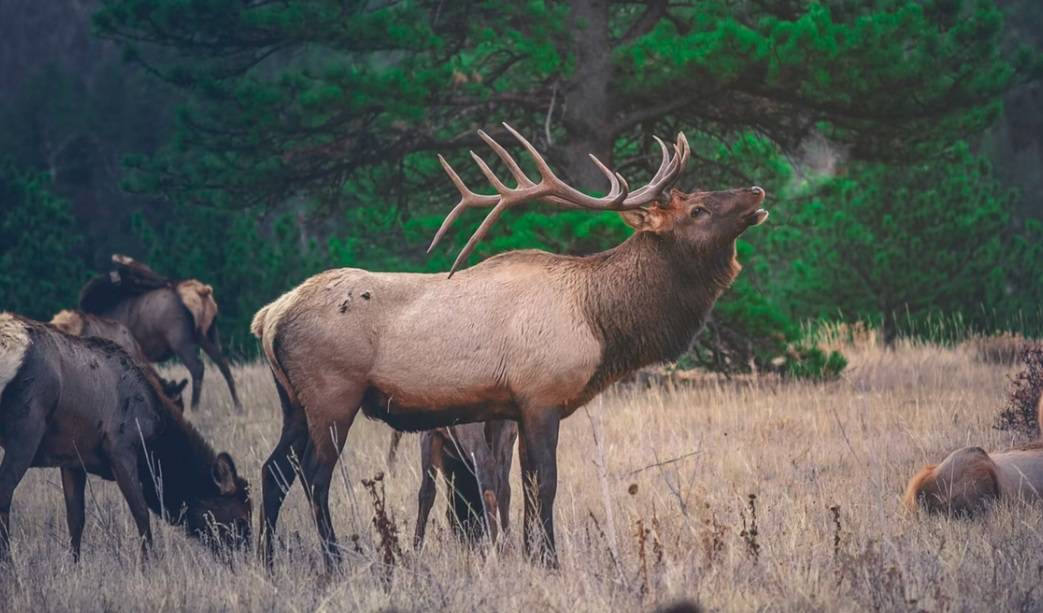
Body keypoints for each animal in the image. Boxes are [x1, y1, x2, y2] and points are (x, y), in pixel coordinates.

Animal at [79, 253, 241, 412]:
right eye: (135, 276)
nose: (169, 282)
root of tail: (203, 291)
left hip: (180, 339)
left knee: (198, 367)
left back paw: (194, 408)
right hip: (209, 334)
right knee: (223, 363)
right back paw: (238, 406)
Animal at [252, 124, 767, 571]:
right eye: (697, 209)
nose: (757, 192)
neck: (599, 321)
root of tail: (270, 316)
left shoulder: (511, 408)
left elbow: (519, 486)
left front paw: (529, 554)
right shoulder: (541, 396)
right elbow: (545, 484)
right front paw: (549, 560)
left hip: (293, 402)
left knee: (273, 470)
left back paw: (266, 559)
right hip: (333, 394)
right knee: (313, 476)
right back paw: (333, 561)